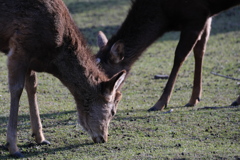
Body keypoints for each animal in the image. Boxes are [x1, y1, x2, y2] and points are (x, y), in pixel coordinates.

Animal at [0, 0, 126, 158]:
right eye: (113, 112)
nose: (103, 138)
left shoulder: (31, 59)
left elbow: (32, 86)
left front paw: (40, 138)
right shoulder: (19, 47)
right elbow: (16, 89)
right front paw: (13, 147)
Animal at [96, 0, 240, 111]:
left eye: (106, 74)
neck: (164, 18)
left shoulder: (196, 14)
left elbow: (179, 56)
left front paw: (159, 103)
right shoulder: (206, 15)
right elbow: (199, 50)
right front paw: (194, 98)